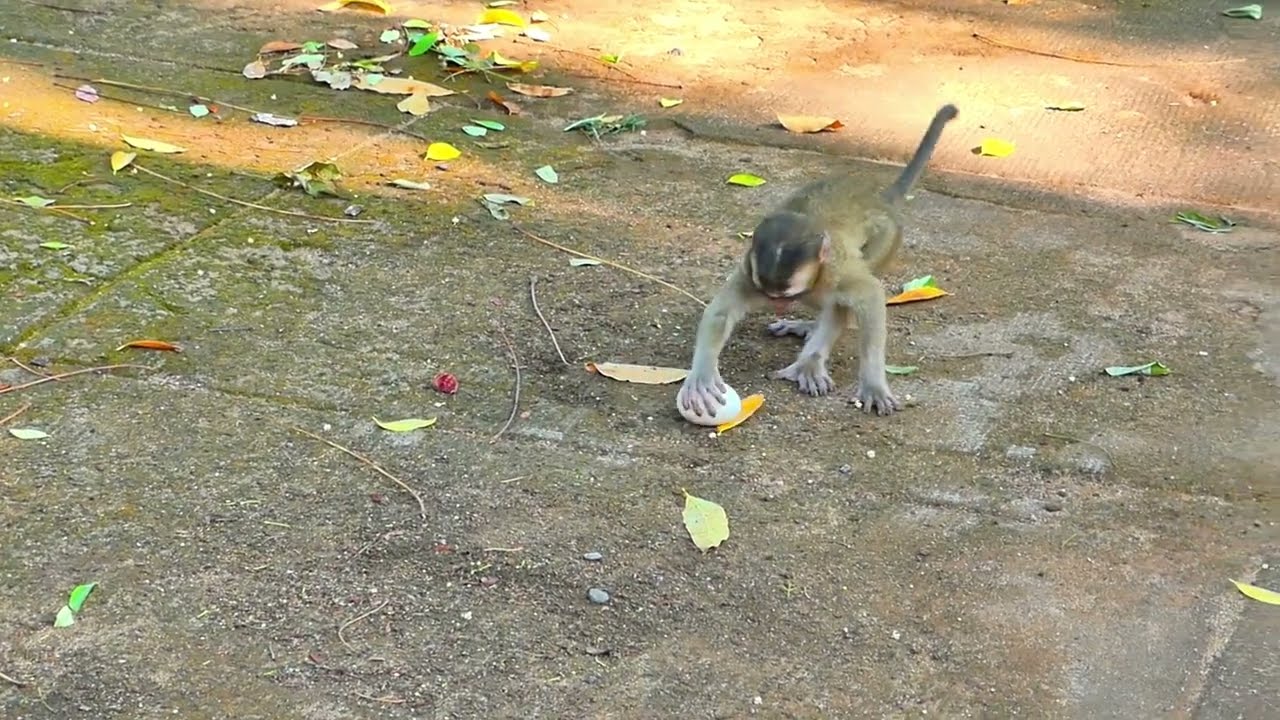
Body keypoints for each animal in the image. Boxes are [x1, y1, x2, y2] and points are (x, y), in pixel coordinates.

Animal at [677, 103, 958, 419]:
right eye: (770, 295)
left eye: (786, 295)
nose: (778, 305)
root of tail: (881, 200)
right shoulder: (750, 273)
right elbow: (721, 313)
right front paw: (701, 375)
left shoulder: (836, 272)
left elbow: (869, 296)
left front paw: (872, 383)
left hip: (887, 238)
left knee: (843, 298)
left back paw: (810, 358)